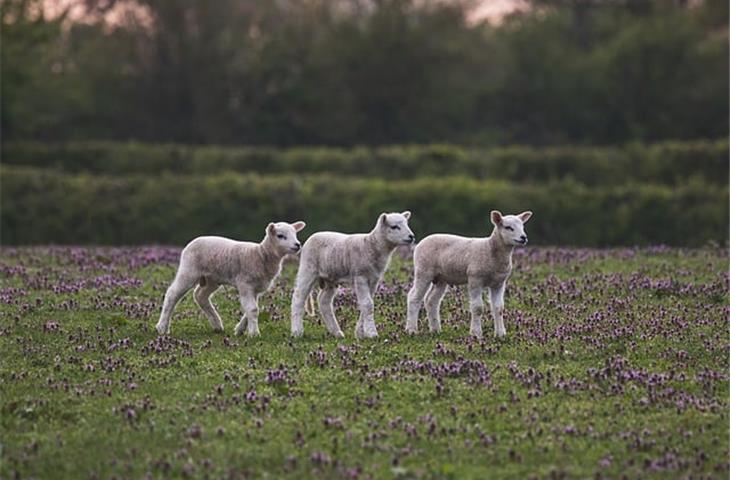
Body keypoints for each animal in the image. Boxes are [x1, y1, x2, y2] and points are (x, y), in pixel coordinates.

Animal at [156, 222, 304, 338]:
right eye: (280, 236)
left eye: (295, 234)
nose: (297, 245)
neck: (261, 254)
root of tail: (191, 242)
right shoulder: (245, 283)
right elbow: (252, 309)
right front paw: (254, 334)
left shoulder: (256, 288)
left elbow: (250, 309)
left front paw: (240, 330)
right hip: (189, 270)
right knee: (172, 294)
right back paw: (162, 327)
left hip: (211, 279)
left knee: (200, 296)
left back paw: (217, 325)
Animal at [292, 212, 416, 340]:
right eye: (394, 227)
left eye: (406, 224)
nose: (411, 236)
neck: (371, 245)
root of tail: (313, 236)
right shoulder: (360, 276)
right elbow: (367, 304)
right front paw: (372, 333)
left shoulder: (374, 280)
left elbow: (367, 303)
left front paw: (360, 333)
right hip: (308, 269)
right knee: (298, 298)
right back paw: (297, 332)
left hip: (331, 278)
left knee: (323, 301)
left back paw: (337, 332)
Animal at [404, 210, 528, 338]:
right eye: (508, 227)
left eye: (523, 227)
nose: (523, 238)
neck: (490, 249)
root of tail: (419, 243)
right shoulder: (475, 279)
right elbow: (478, 308)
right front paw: (476, 334)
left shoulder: (499, 283)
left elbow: (499, 308)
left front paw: (501, 334)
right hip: (423, 271)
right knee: (414, 297)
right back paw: (411, 330)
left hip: (441, 278)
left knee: (431, 300)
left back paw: (435, 329)